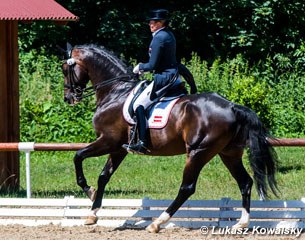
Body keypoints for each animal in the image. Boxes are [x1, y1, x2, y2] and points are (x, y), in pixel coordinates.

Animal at [60, 44, 276, 233]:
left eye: (64, 69)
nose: (68, 98)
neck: (116, 91)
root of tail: (232, 106)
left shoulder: (108, 141)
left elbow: (78, 156)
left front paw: (88, 191)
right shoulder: (119, 148)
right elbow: (104, 176)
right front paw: (93, 213)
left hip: (198, 152)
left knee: (187, 188)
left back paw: (156, 223)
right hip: (228, 153)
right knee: (245, 182)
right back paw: (241, 224)